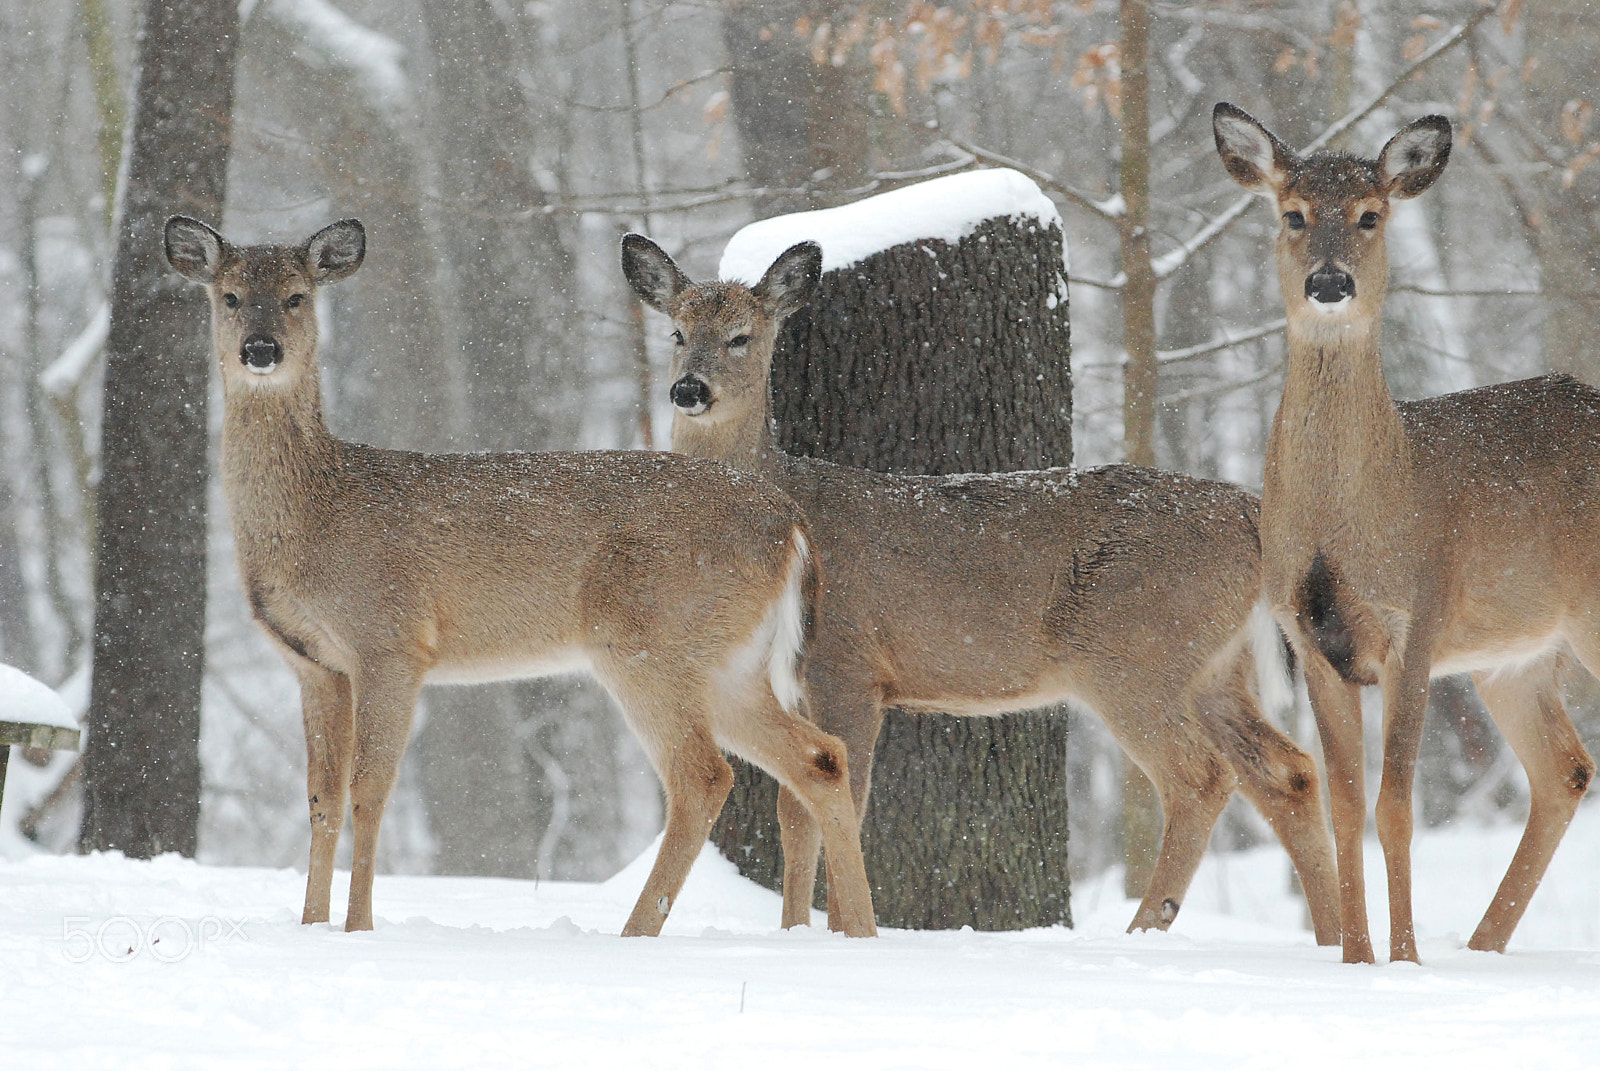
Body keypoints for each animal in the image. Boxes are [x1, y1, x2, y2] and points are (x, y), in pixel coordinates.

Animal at [162, 214, 876, 934]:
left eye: (296, 296)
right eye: (228, 296)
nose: (260, 349)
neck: (318, 510)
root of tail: (789, 523)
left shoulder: (390, 639)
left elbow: (369, 789)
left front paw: (359, 928)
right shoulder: (314, 664)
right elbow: (321, 797)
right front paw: (311, 927)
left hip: (653, 643)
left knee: (704, 775)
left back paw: (633, 935)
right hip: (730, 662)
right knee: (821, 757)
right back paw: (861, 931)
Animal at [617, 230, 1344, 941]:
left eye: (742, 335)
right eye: (677, 331)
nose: (688, 389)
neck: (788, 491)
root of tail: (1250, 513)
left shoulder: (848, 663)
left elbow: (839, 799)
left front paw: (846, 934)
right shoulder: (791, 680)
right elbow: (793, 814)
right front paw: (796, 932)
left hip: (1136, 656)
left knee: (1201, 777)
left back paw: (1144, 930)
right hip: (1218, 667)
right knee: (1289, 771)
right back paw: (1333, 939)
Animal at [1209, 104, 1600, 966]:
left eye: (1369, 215)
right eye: (1292, 213)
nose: (1329, 282)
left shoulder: (1415, 619)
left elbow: (1396, 805)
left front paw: (1408, 959)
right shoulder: (1311, 640)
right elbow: (1346, 804)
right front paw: (1357, 959)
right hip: (1513, 655)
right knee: (1566, 769)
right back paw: (1483, 948)